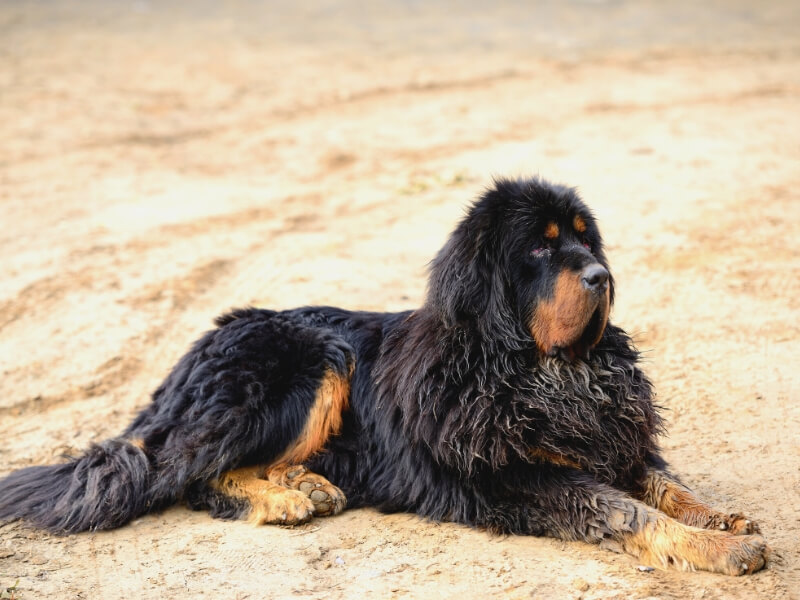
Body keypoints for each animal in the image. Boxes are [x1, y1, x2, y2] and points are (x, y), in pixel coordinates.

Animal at [1, 176, 776, 576]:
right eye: (540, 248)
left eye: (588, 240)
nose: (602, 277)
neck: (537, 370)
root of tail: (188, 358)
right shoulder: (515, 476)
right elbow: (625, 509)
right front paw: (720, 548)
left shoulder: (605, 438)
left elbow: (664, 484)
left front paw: (718, 517)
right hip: (311, 357)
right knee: (193, 477)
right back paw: (284, 499)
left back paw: (306, 483)